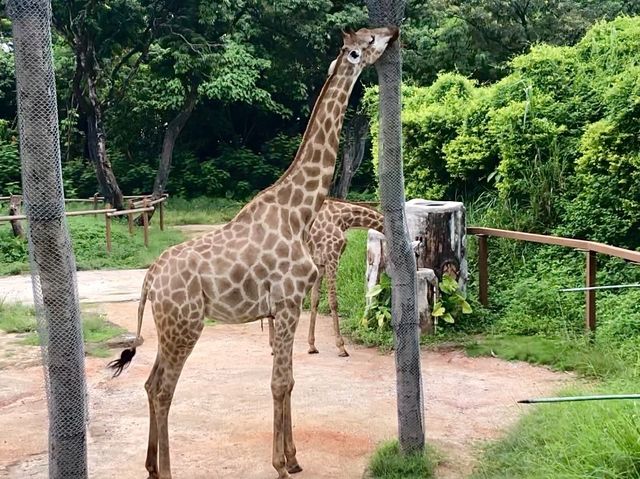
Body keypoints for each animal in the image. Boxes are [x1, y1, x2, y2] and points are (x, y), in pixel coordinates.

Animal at [110, 25, 400, 479]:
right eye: (368, 41)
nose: (394, 31)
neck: (299, 210)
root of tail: (150, 279)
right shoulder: (286, 302)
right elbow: (280, 382)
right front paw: (280, 464)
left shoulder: (286, 307)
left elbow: (290, 381)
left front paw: (294, 459)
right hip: (186, 325)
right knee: (163, 389)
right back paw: (167, 471)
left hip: (169, 326)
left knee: (149, 381)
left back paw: (151, 466)